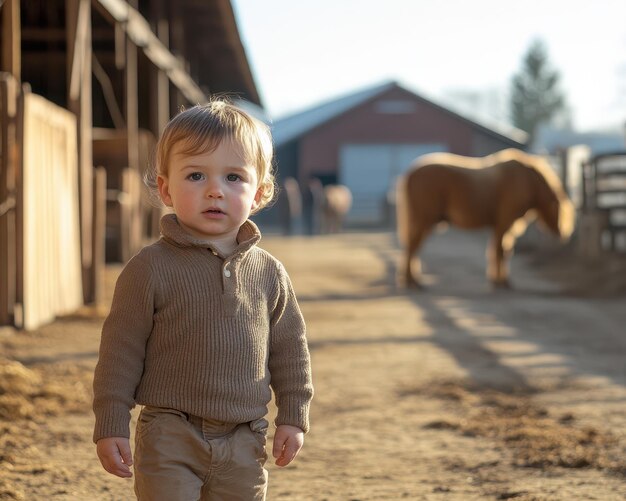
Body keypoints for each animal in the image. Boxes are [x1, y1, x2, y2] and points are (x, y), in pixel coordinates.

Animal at [398, 148, 572, 288]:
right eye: (561, 213)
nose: (564, 236)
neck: (526, 179)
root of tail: (410, 173)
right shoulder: (504, 223)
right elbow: (500, 251)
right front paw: (501, 282)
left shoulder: (503, 226)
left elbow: (502, 251)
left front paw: (498, 280)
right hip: (423, 221)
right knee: (412, 247)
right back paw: (411, 281)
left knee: (414, 248)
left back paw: (412, 279)